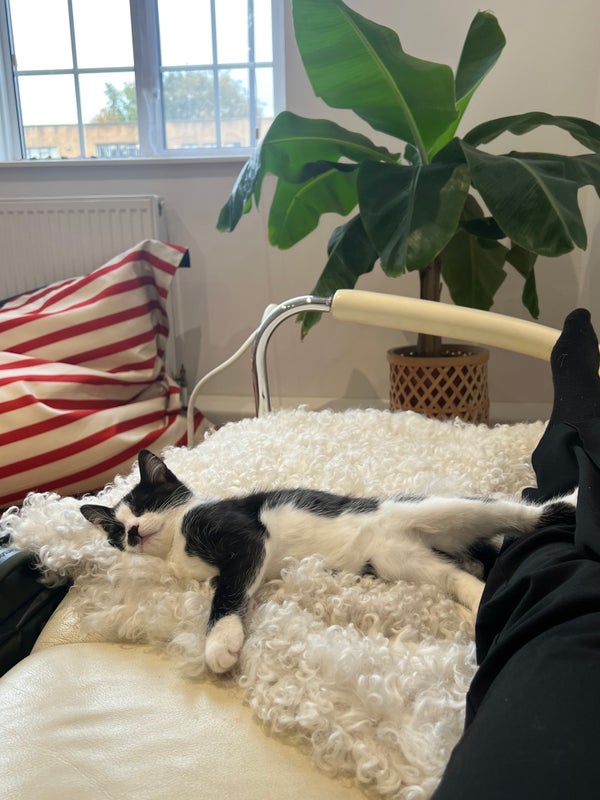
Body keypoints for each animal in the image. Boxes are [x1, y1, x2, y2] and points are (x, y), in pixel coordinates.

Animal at [80, 450, 574, 674]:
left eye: (146, 504)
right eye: (117, 531)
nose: (135, 532)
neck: (177, 542)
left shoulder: (243, 531)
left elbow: (228, 587)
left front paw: (220, 641)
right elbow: (234, 583)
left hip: (439, 511)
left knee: (512, 512)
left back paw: (569, 500)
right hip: (401, 560)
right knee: (452, 577)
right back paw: (479, 598)